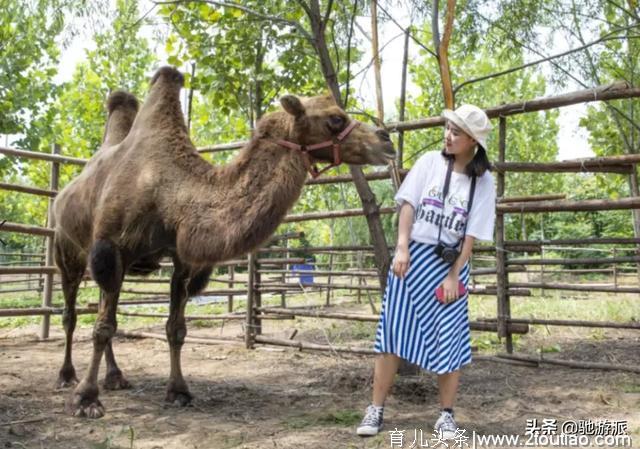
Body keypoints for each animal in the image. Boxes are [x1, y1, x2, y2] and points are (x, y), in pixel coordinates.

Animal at [55, 65, 396, 416]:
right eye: (335, 119)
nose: (386, 139)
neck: (168, 193)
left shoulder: (183, 261)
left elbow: (175, 329)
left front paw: (179, 391)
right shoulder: (111, 249)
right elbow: (102, 327)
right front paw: (86, 399)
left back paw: (116, 376)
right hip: (67, 250)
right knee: (70, 314)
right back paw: (66, 376)